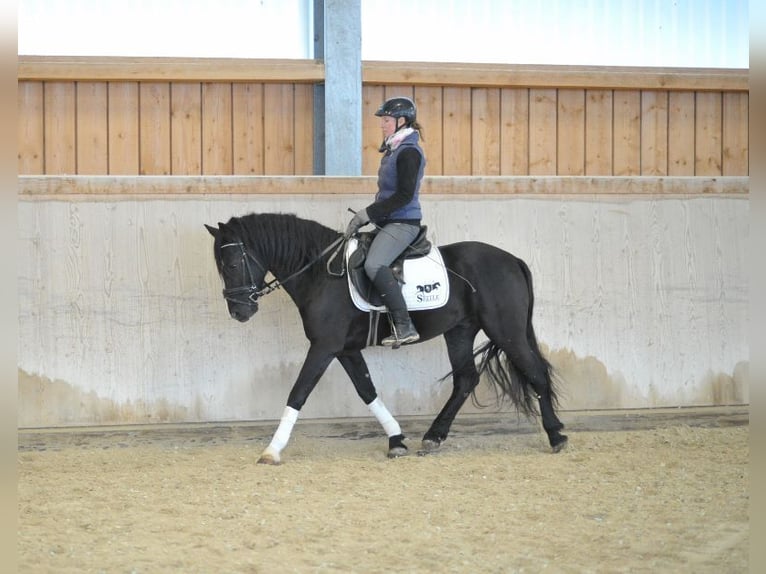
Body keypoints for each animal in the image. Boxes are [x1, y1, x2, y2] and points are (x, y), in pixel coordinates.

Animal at [207, 214, 568, 466]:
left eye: (234, 263)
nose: (239, 311)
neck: (320, 274)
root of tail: (513, 260)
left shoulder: (324, 347)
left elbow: (298, 393)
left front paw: (272, 450)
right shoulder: (345, 349)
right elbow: (367, 390)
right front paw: (396, 440)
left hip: (506, 330)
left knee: (535, 373)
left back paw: (556, 436)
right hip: (460, 331)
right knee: (466, 379)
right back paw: (433, 437)